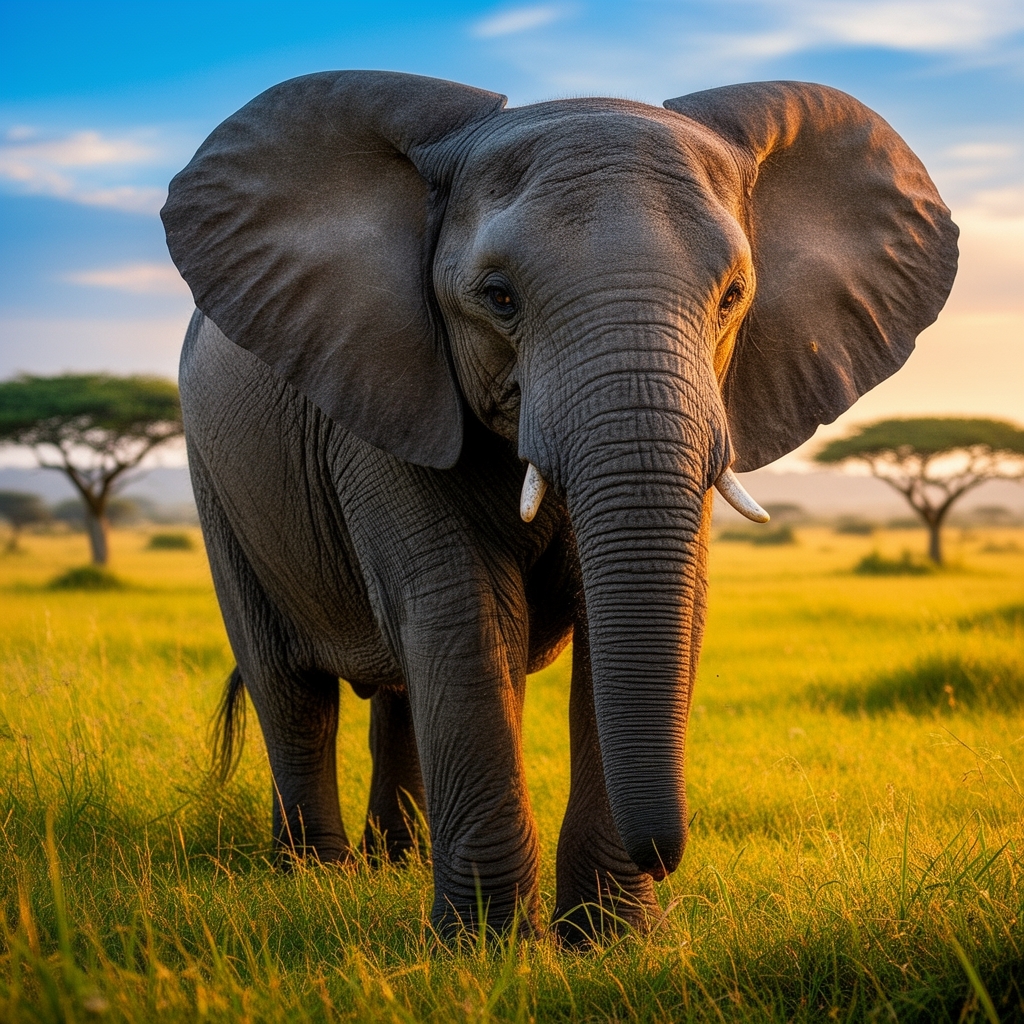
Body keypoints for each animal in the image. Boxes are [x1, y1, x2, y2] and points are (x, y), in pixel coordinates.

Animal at [161, 71, 956, 942]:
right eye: (498, 297)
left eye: (733, 296)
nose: (666, 854)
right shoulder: (382, 391)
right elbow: (466, 617)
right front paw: (485, 949)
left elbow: (664, 611)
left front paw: (611, 943)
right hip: (215, 482)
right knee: (291, 690)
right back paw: (315, 879)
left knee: (394, 692)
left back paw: (393, 864)